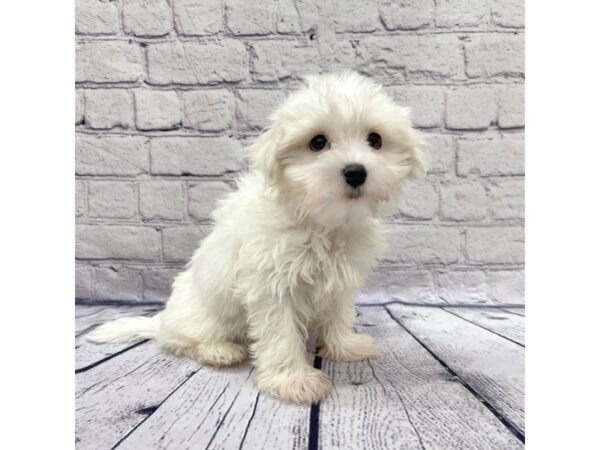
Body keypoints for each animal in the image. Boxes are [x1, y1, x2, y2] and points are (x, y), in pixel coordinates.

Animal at [89, 73, 426, 404]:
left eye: (375, 140)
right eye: (317, 142)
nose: (356, 171)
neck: (322, 221)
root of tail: (163, 319)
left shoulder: (340, 281)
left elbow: (338, 314)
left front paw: (345, 346)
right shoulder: (272, 285)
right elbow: (281, 332)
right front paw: (293, 381)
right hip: (202, 317)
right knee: (177, 340)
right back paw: (218, 350)